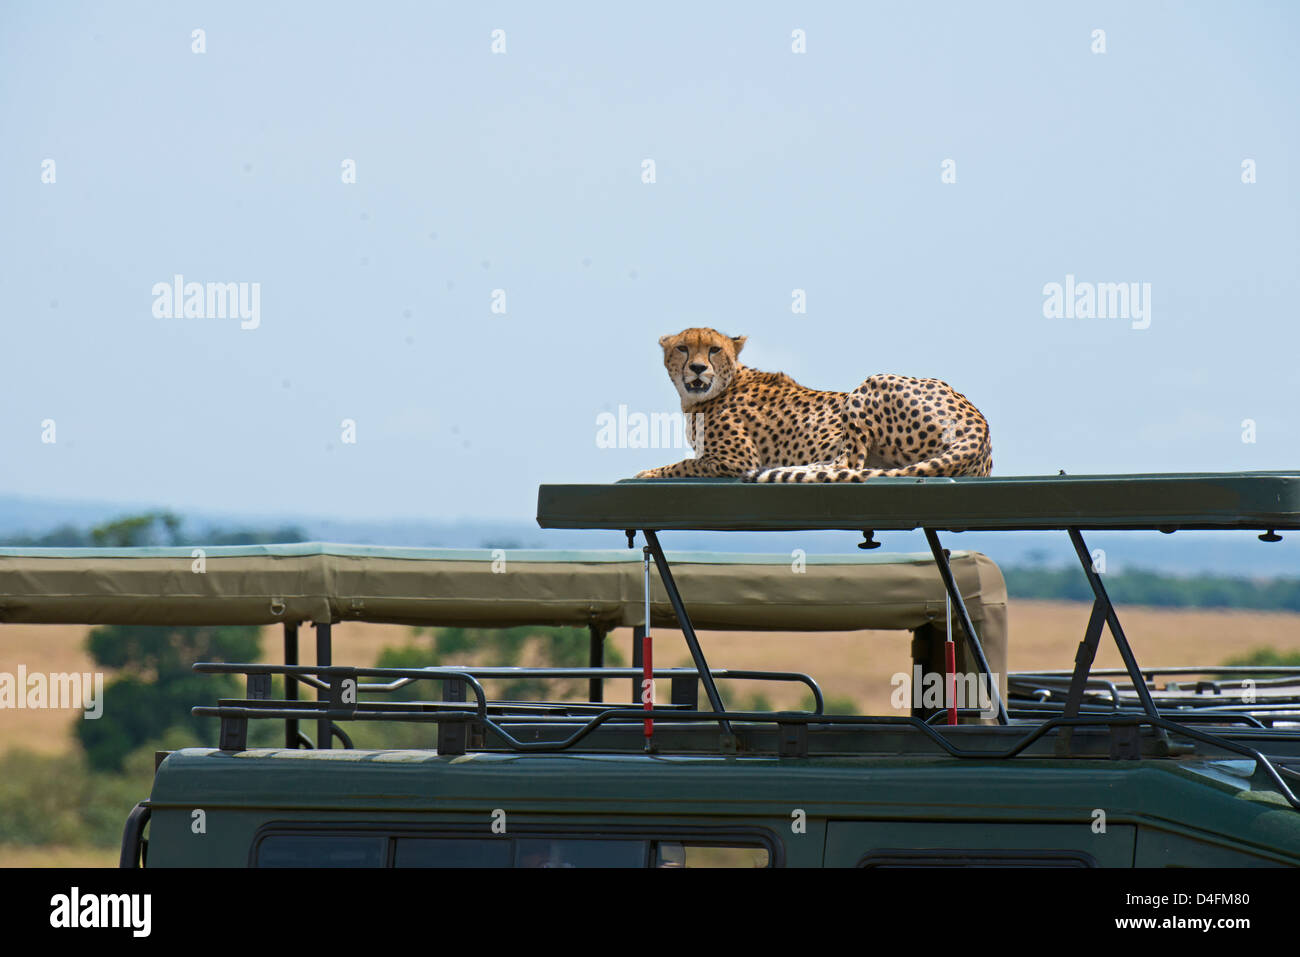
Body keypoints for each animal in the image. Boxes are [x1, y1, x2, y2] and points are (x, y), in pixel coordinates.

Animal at [634, 328, 987, 481]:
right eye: (682, 348)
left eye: (714, 350)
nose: (697, 368)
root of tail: (979, 424)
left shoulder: (735, 459)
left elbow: (683, 464)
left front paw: (646, 472)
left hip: (871, 383)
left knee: (846, 465)